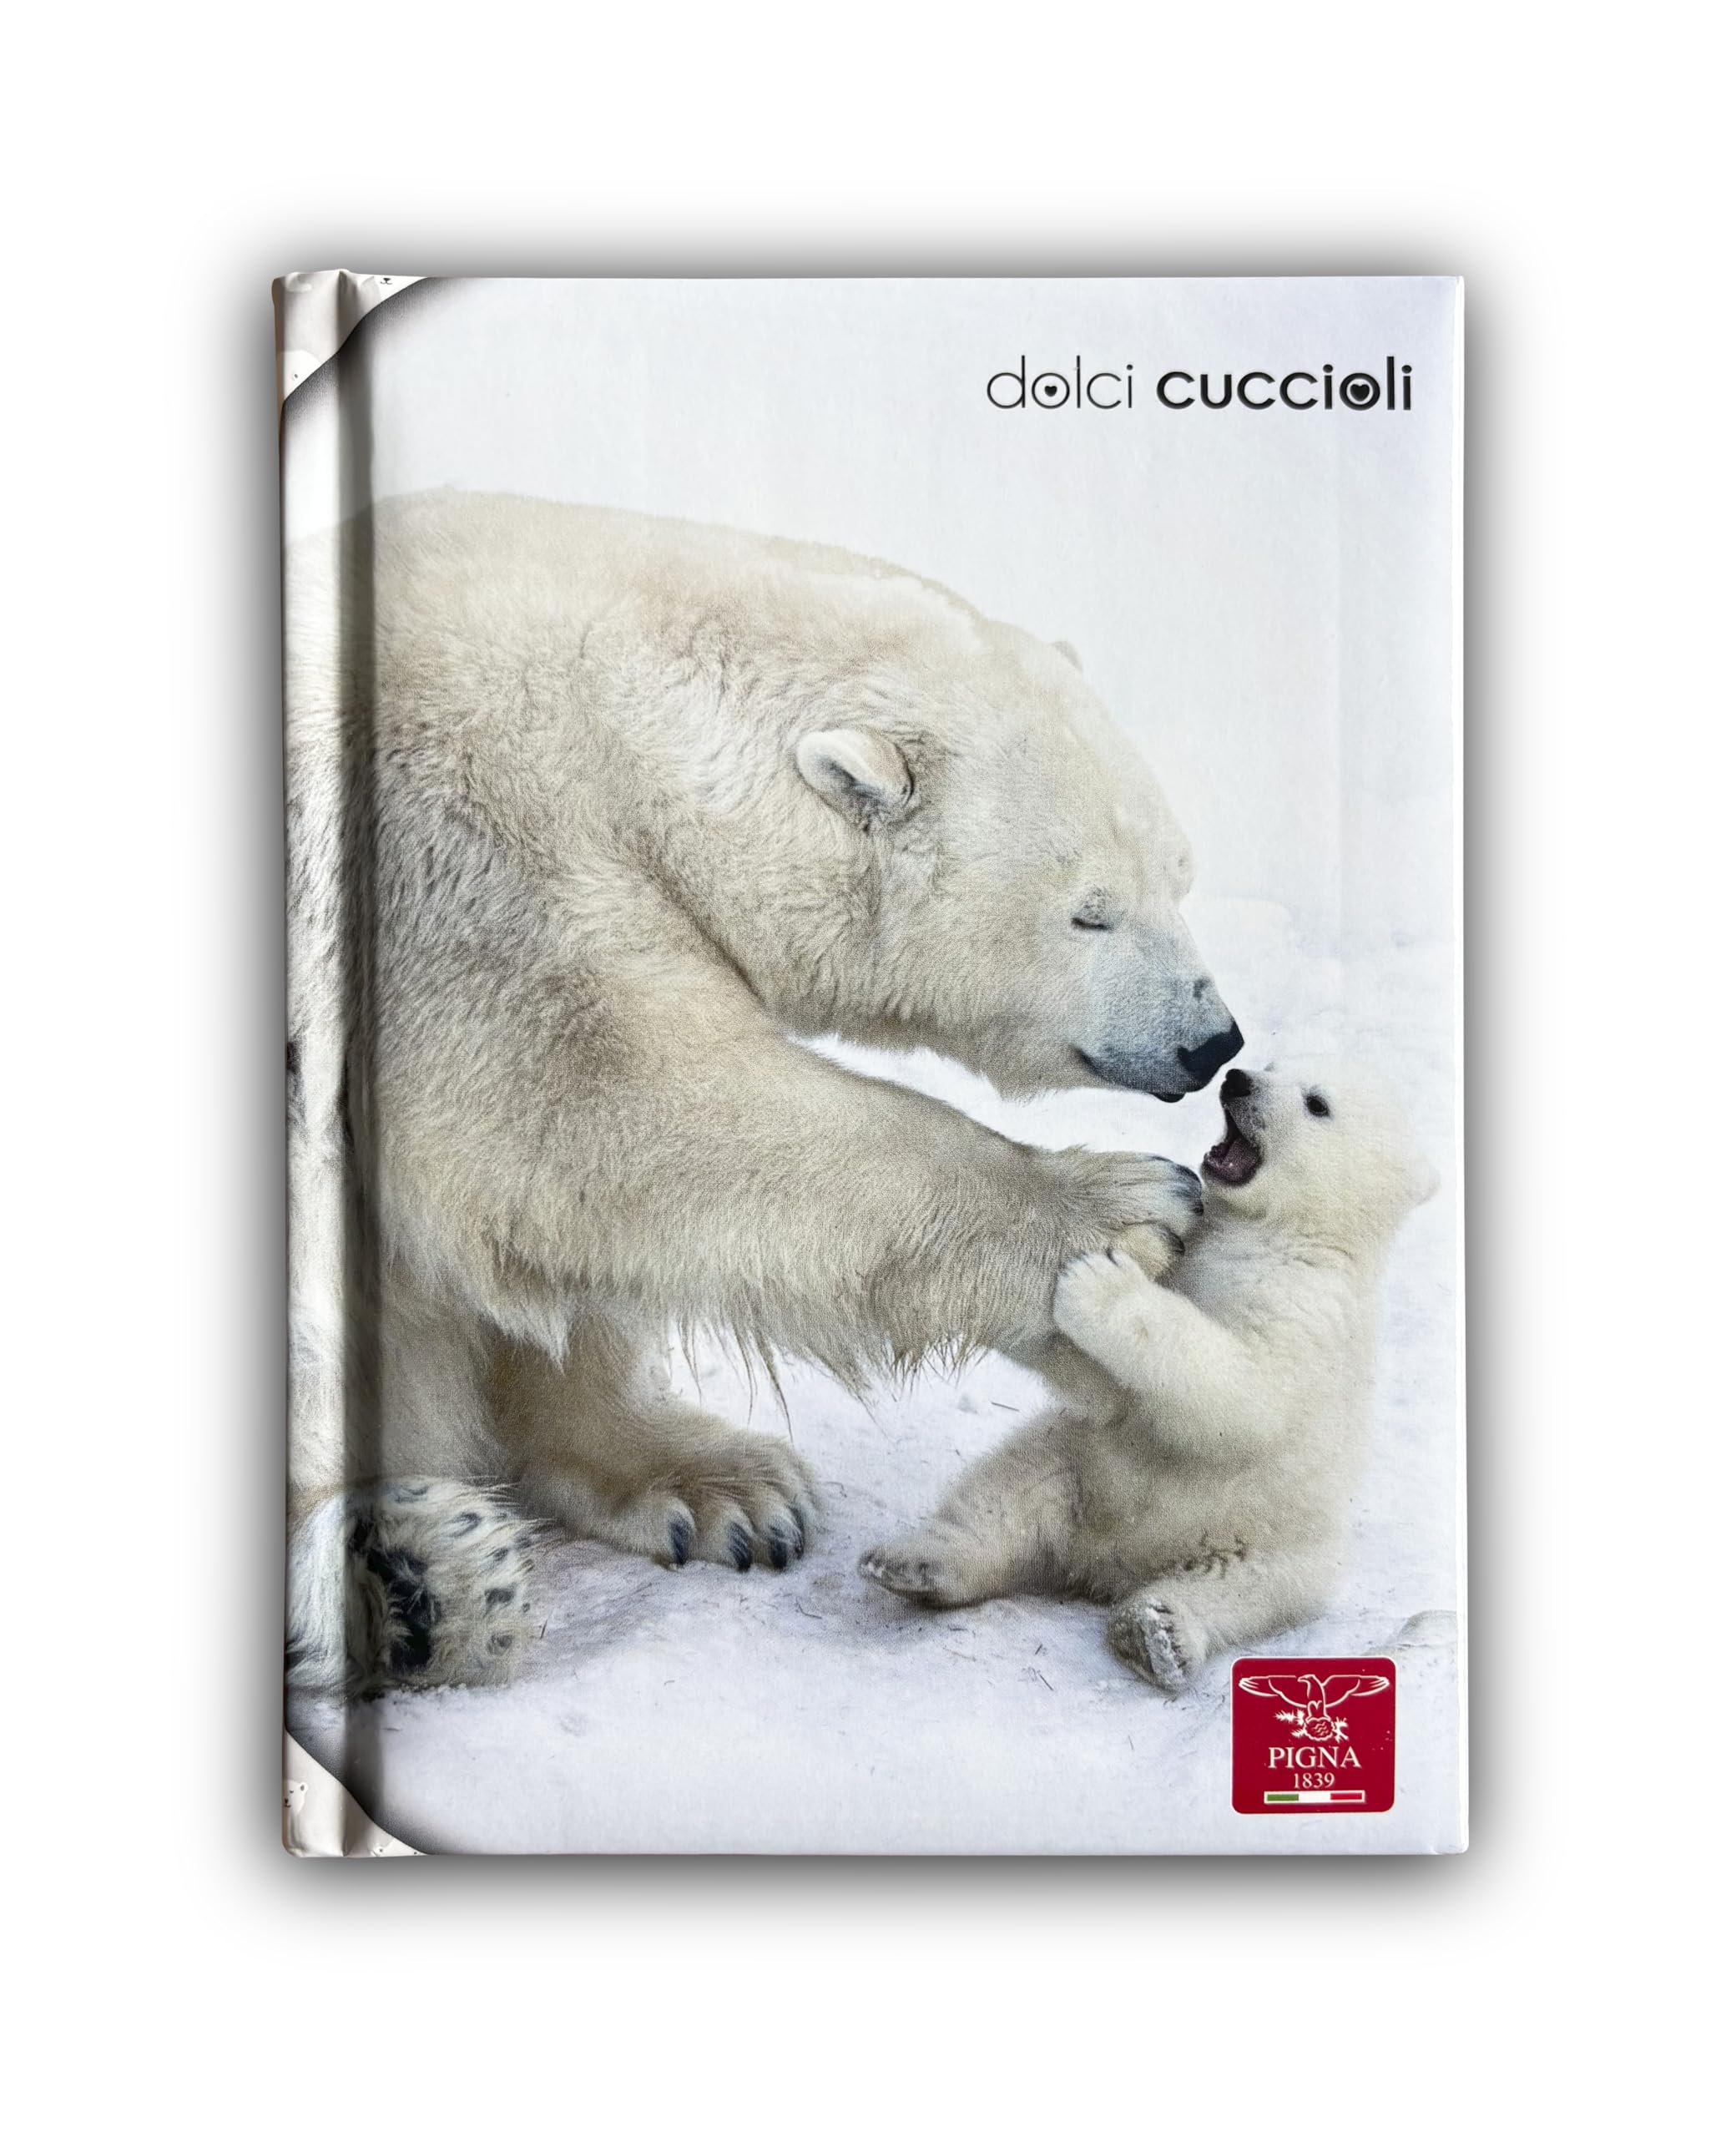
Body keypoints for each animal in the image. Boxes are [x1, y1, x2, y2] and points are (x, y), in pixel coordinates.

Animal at [284, 491, 1242, 1693]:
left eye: (1180, 875)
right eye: (1090, 912)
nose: (1210, 1041)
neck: (611, 719)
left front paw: (706, 1482)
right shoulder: (452, 862)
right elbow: (597, 1108)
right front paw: (1122, 1214)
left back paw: (714, 1484)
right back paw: (413, 1581)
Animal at [859, 1059, 1436, 1692]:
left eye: (1317, 1104)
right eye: (1274, 1065)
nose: (1237, 1079)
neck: (1286, 1232)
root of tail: (1109, 1561)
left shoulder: (1306, 1310)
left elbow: (1241, 1395)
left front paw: (1100, 1279)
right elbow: (1112, 1391)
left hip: (1277, 1543)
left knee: (1243, 1590)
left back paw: (1159, 1634)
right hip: (1075, 1462)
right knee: (1006, 1496)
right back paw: (915, 1564)